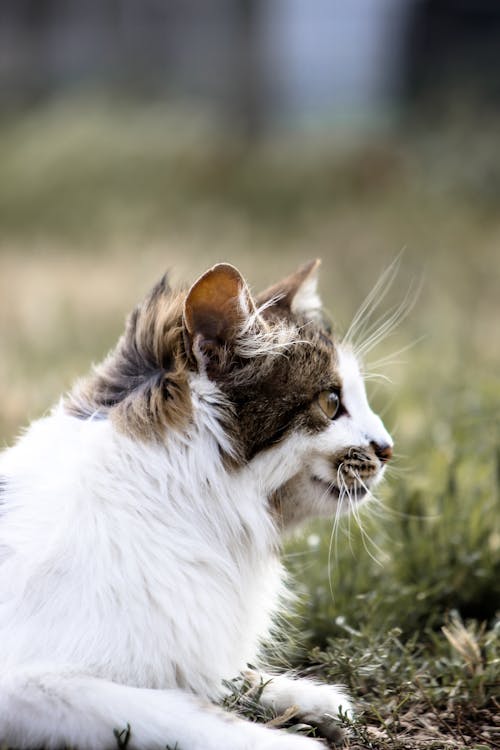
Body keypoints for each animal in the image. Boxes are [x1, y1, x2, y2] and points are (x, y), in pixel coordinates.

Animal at [0, 262, 390, 748]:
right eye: (331, 401)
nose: (388, 448)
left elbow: (231, 679)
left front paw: (318, 702)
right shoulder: (32, 684)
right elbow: (189, 715)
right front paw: (293, 740)